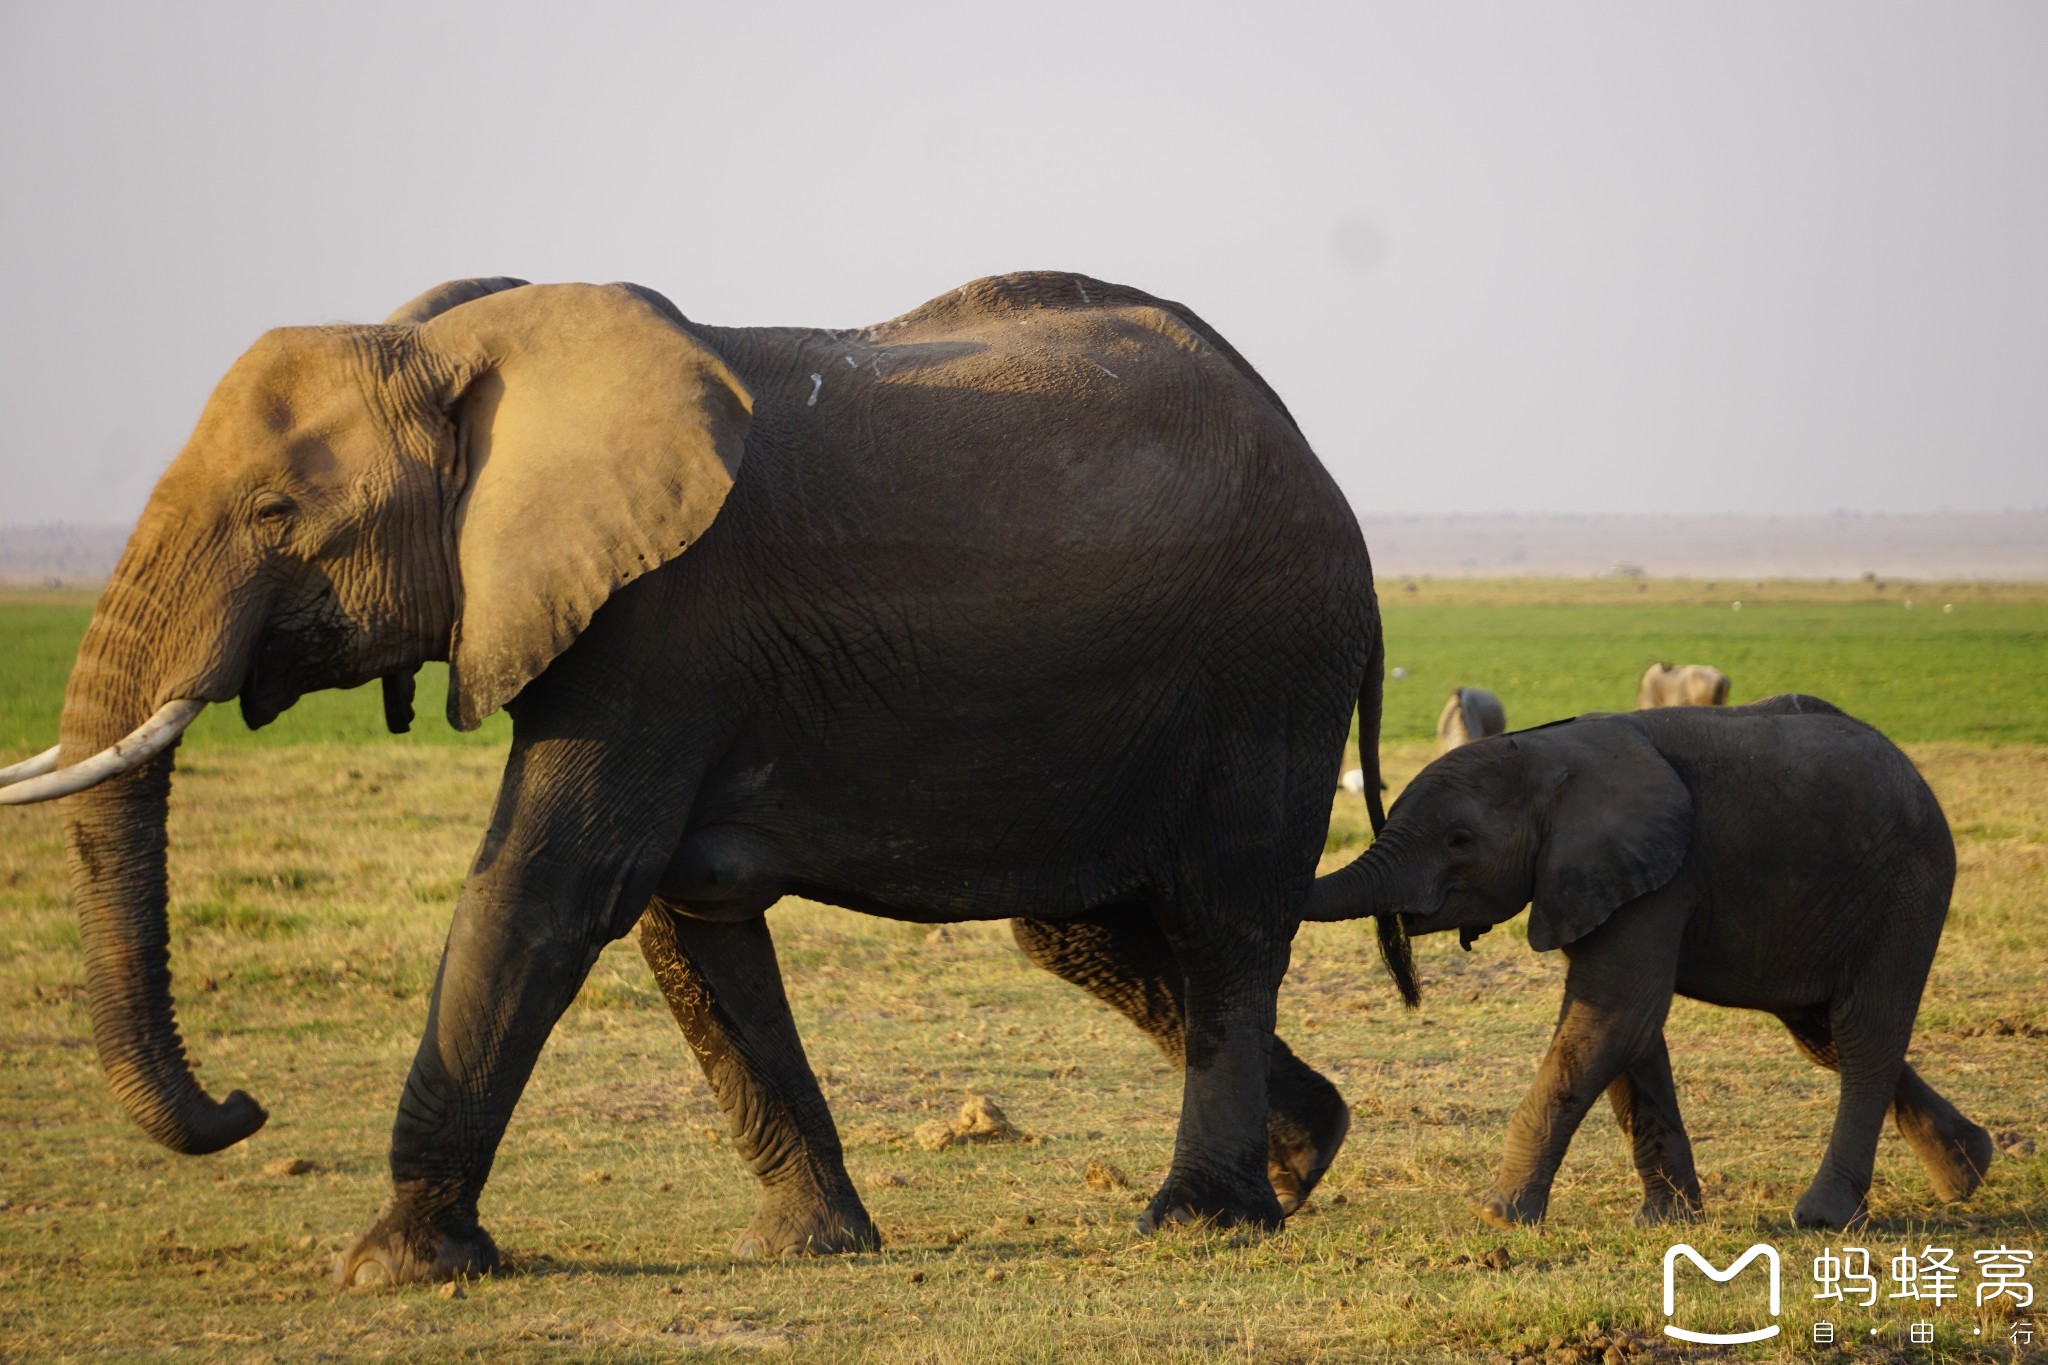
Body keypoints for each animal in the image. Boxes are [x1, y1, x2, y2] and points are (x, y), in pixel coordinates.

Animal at [0, 274, 1384, 1285]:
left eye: (278, 515)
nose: (242, 1105)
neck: (455, 342)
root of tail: (1318, 463)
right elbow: (687, 918)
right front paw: (809, 1250)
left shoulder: (661, 627)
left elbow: (550, 889)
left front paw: (394, 1269)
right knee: (1079, 932)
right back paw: (1302, 1158)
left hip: (1268, 666)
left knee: (1220, 921)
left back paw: (1200, 1220)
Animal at [1310, 699, 1998, 1236]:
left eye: (1459, 840)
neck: (1545, 753)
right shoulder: (1600, 881)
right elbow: (1628, 1035)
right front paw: (1666, 1222)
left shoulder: (1656, 878)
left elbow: (1613, 1020)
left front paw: (1496, 1215)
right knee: (1822, 1032)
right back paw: (1969, 1171)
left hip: (1905, 889)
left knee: (1864, 1033)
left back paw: (1825, 1216)